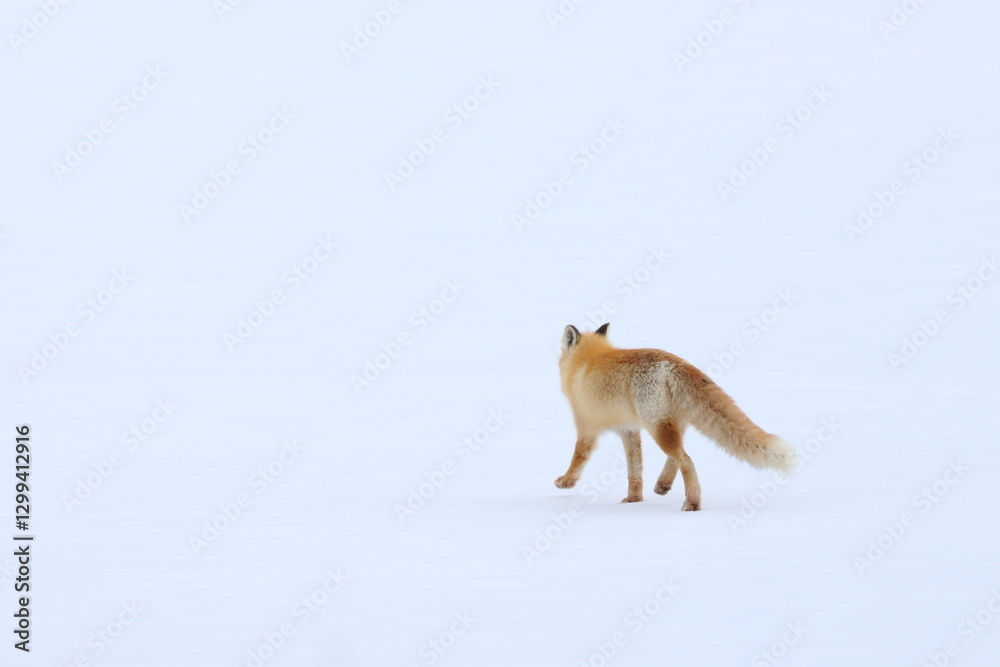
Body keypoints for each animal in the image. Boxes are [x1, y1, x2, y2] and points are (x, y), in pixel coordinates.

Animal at [555, 323, 797, 510]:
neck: (585, 362)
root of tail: (674, 362)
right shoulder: (629, 430)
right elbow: (635, 469)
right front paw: (634, 499)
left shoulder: (587, 425)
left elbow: (579, 457)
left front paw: (566, 482)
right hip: (670, 423)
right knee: (678, 456)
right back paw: (663, 484)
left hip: (656, 425)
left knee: (686, 460)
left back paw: (692, 503)